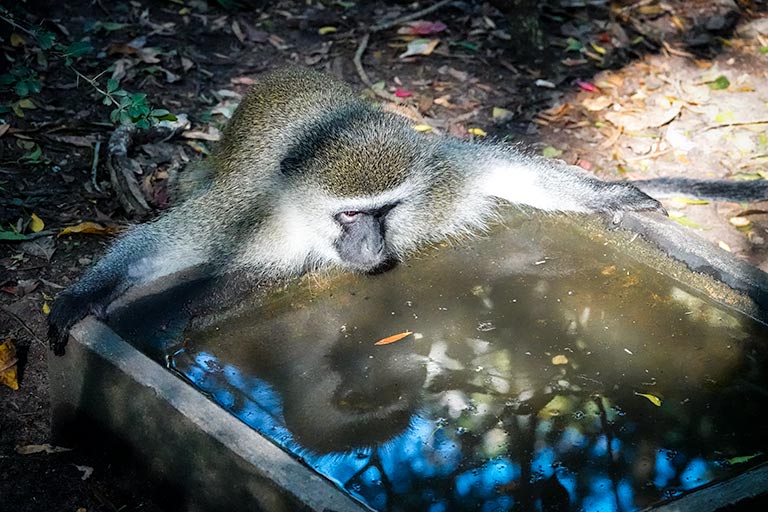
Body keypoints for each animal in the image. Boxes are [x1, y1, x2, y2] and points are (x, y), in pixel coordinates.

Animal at [46, 66, 664, 354]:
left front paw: (611, 195)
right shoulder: (246, 210)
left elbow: (501, 170)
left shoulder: (437, 178)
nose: (369, 246)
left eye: (385, 211)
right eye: (348, 216)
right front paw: (83, 296)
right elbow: (163, 245)